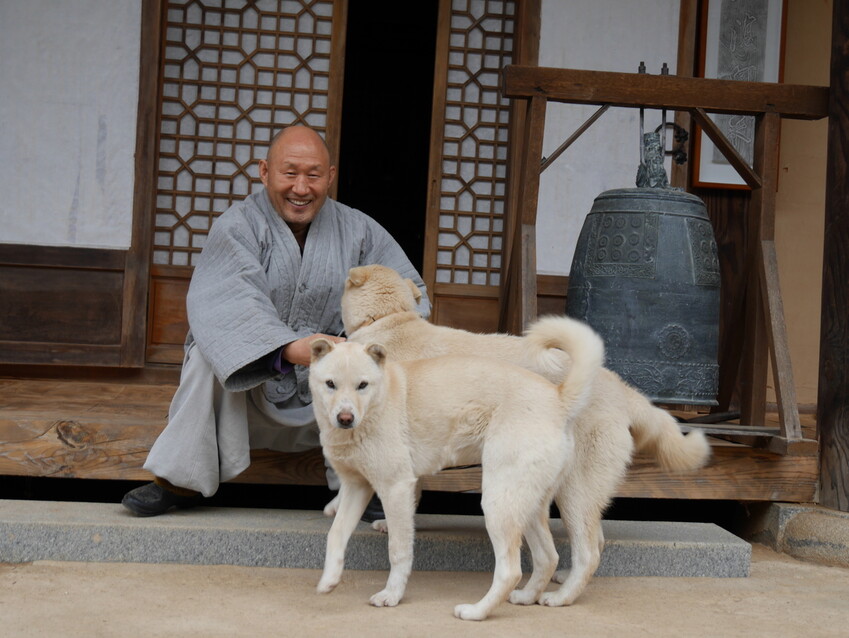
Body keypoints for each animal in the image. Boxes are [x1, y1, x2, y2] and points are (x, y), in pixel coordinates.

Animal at [310, 318, 604, 624]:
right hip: (527, 504)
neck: (376, 405)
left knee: (512, 570)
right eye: (330, 384)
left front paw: (392, 595)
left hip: (500, 502)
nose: (345, 418)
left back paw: (477, 611)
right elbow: (335, 535)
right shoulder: (356, 487)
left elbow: (398, 550)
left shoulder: (396, 488)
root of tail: (557, 398)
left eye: (362, 385)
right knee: (548, 557)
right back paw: (527, 597)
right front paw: (329, 580)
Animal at [338, 264, 708, 608]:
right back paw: (561, 578)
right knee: (595, 540)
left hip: (573, 489)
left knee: (589, 550)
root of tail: (619, 387)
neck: (389, 320)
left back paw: (560, 596)